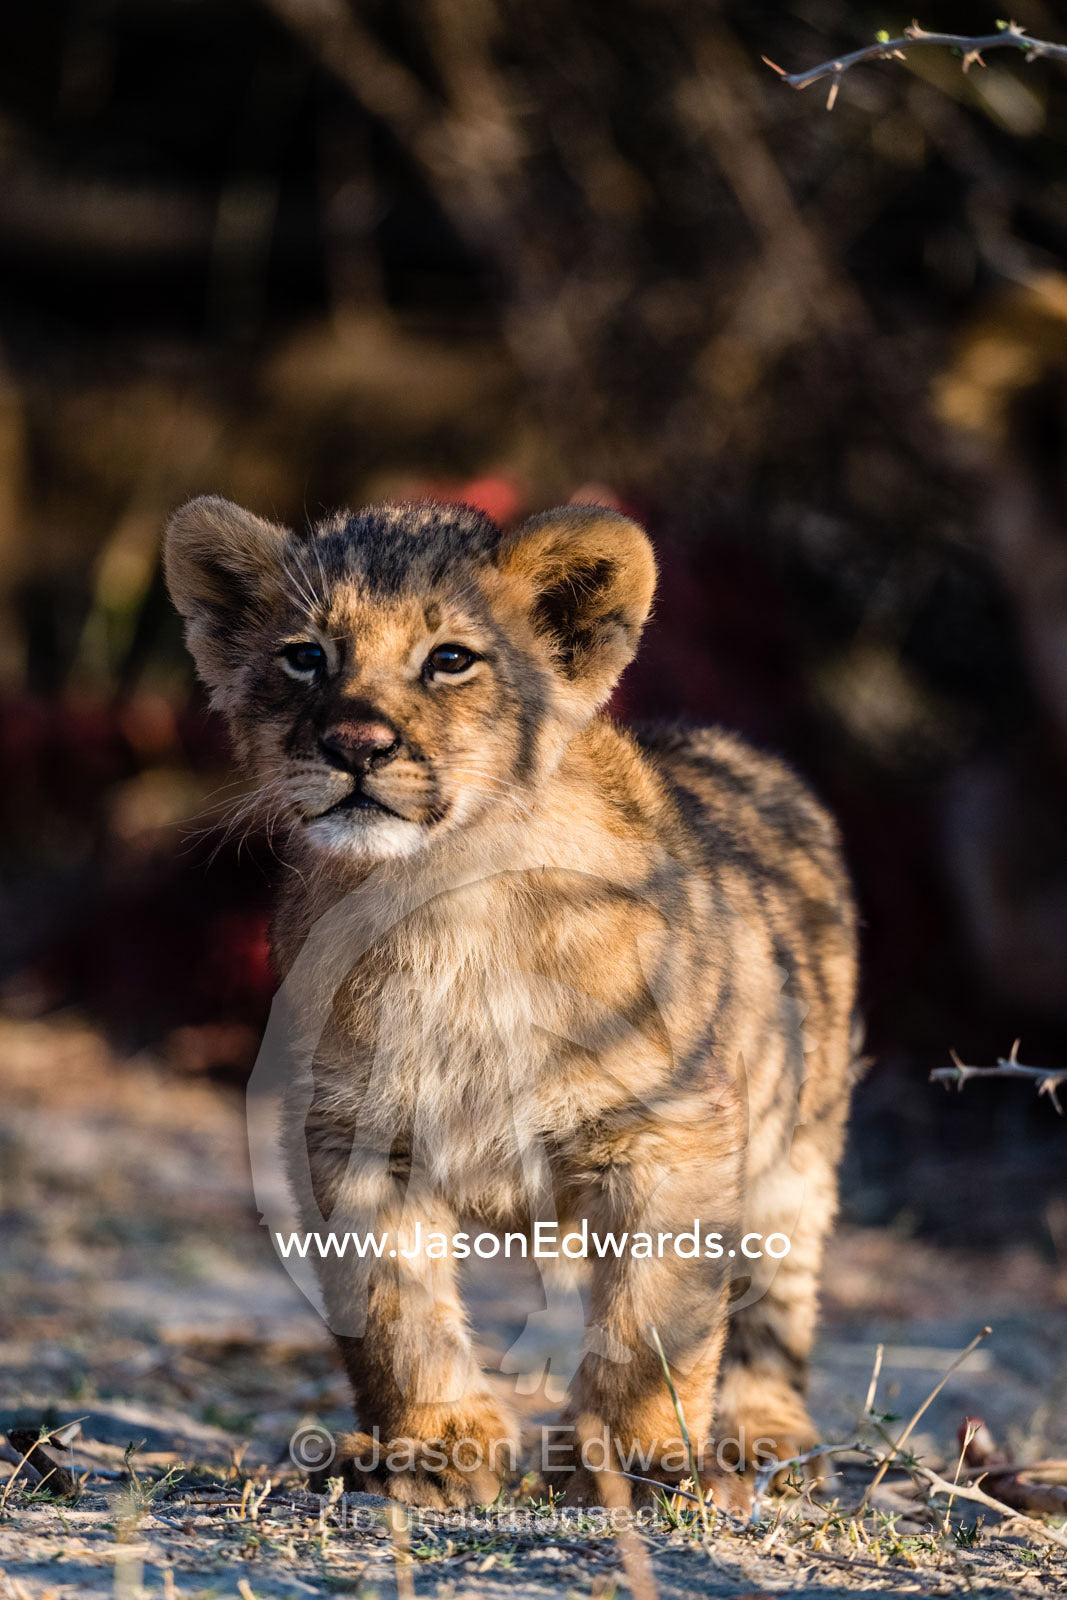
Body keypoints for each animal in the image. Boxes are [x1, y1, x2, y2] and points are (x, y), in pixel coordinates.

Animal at [165, 495, 858, 1510]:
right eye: (305, 656)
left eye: (451, 658)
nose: (354, 745)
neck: (442, 900)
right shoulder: (353, 1135)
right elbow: (394, 1310)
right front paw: (435, 1450)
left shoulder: (673, 1130)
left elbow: (655, 1319)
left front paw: (634, 1463)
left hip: (798, 1146)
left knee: (775, 1298)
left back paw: (762, 1439)